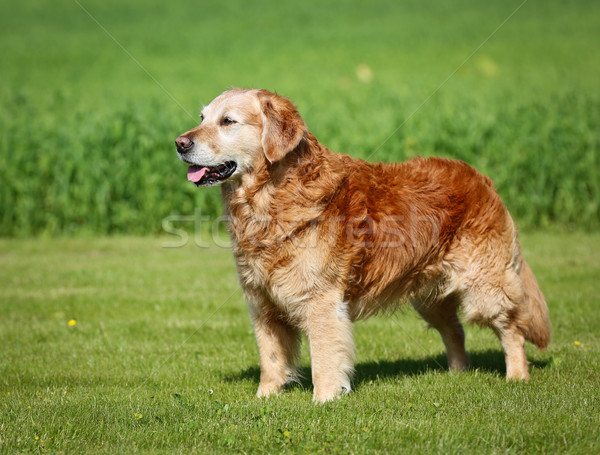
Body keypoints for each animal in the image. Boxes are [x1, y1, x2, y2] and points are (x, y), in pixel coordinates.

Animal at [173, 89, 548, 402]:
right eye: (202, 117)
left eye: (227, 121)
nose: (179, 143)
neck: (273, 196)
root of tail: (482, 178)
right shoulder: (263, 303)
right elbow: (271, 358)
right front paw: (264, 399)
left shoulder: (321, 301)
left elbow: (325, 357)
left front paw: (324, 400)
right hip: (429, 294)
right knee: (455, 330)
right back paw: (457, 373)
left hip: (485, 286)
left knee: (511, 329)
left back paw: (517, 376)